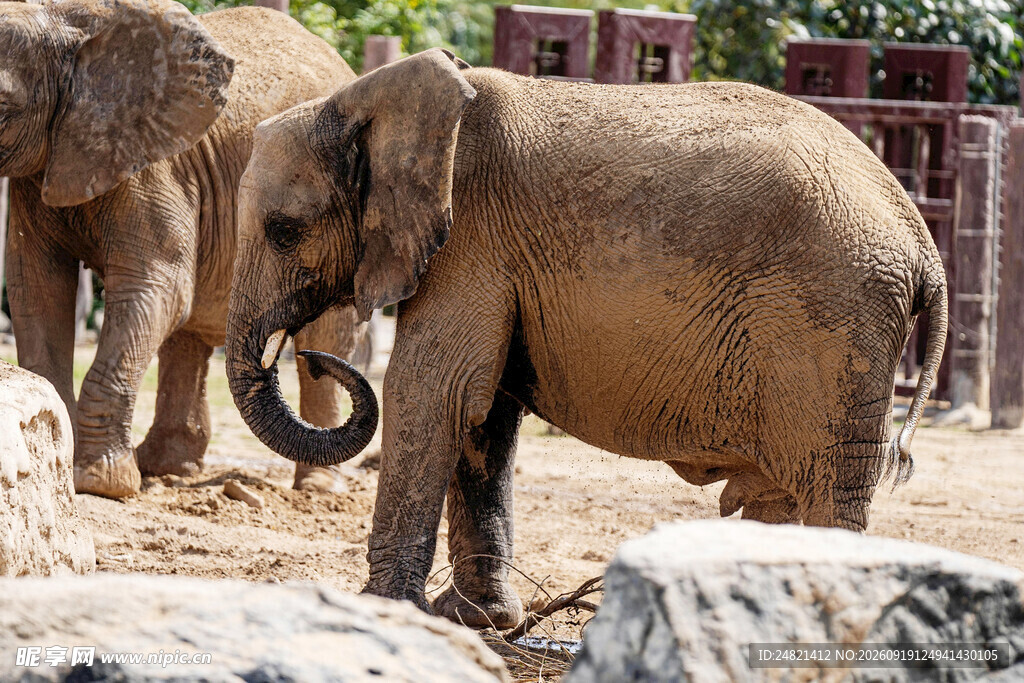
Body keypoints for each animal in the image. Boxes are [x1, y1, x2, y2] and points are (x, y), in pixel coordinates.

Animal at [0, 0, 372, 498]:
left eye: (2, 105)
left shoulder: (154, 166)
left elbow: (155, 289)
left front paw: (98, 483)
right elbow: (37, 289)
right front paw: (65, 466)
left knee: (324, 337)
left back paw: (317, 489)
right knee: (189, 333)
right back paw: (166, 469)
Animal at [224, 50, 947, 628]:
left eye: (283, 230)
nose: (312, 354)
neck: (369, 98)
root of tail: (924, 247)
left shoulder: (470, 241)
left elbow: (434, 393)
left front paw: (386, 612)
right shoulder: (494, 257)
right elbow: (483, 413)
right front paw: (478, 620)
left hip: (834, 323)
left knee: (828, 488)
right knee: (782, 495)